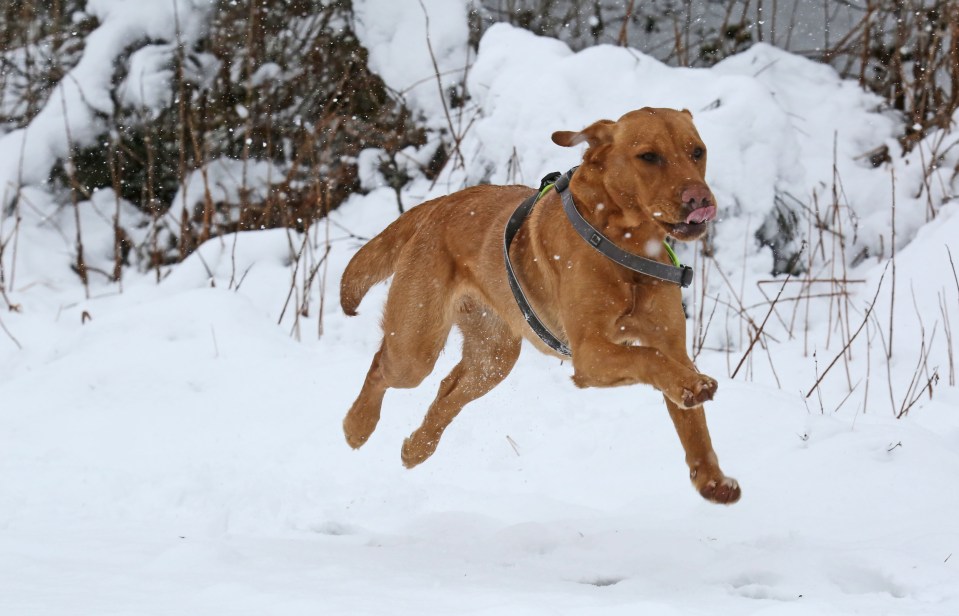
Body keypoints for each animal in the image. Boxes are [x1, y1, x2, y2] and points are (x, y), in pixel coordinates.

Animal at [340, 108, 744, 506]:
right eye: (649, 156)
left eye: (697, 152)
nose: (700, 199)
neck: (625, 246)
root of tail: (439, 204)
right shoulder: (590, 353)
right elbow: (649, 360)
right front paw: (694, 385)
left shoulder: (671, 344)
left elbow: (693, 423)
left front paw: (712, 479)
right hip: (416, 348)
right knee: (381, 367)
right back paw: (357, 426)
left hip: (493, 358)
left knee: (448, 391)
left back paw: (417, 448)